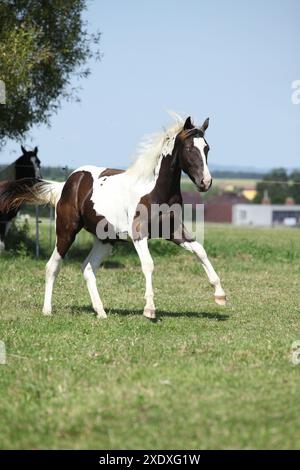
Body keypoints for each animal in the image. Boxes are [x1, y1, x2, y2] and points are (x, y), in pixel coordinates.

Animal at [0, 115, 225, 320]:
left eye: (207, 148)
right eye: (189, 149)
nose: (205, 182)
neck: (156, 190)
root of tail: (66, 185)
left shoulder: (174, 230)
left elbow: (200, 251)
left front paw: (220, 295)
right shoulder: (139, 234)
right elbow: (148, 264)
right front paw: (149, 309)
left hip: (105, 240)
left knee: (88, 268)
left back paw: (101, 312)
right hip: (66, 231)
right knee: (52, 266)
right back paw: (47, 310)